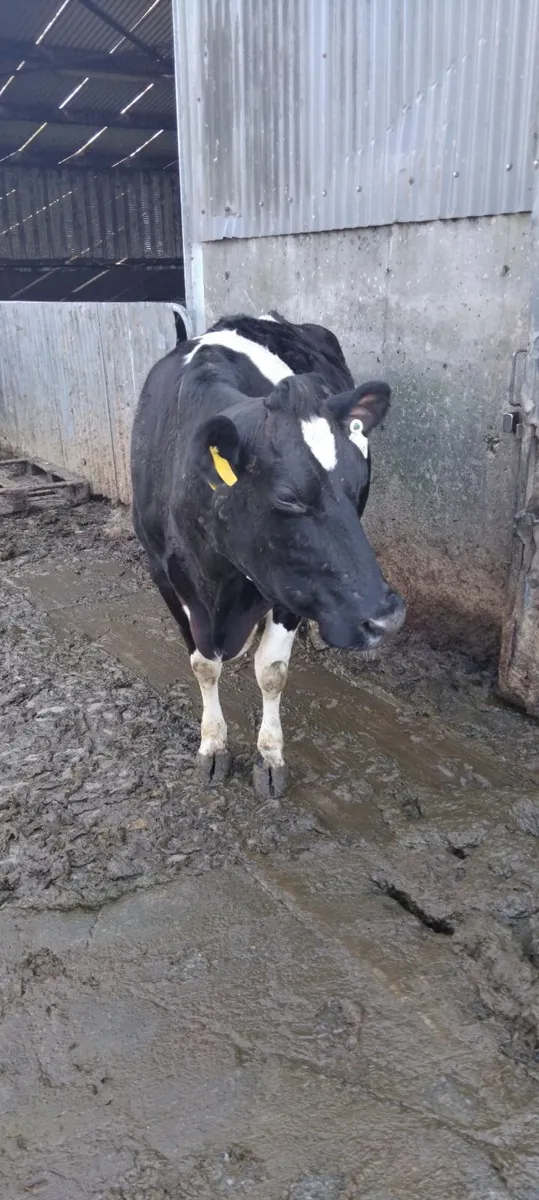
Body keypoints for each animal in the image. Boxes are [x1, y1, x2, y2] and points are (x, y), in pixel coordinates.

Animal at [131, 311, 405, 798]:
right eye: (287, 497)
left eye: (356, 483)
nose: (386, 618)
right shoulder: (163, 572)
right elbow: (203, 666)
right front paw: (213, 745)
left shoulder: (289, 585)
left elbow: (271, 671)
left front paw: (270, 756)